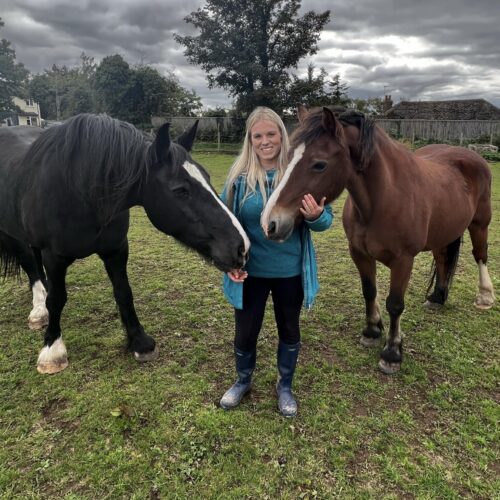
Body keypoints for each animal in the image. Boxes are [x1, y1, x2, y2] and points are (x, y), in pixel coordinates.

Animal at [0, 113, 250, 372]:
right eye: (180, 190)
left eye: (208, 178)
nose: (240, 247)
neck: (80, 190)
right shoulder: (54, 256)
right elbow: (57, 298)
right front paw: (52, 349)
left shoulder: (116, 250)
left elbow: (123, 292)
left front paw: (140, 342)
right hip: (15, 237)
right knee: (31, 267)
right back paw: (40, 310)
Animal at [264, 107, 494, 374]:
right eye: (288, 157)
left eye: (319, 164)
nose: (270, 223)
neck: (383, 198)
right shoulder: (359, 253)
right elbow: (369, 291)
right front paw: (372, 331)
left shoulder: (404, 260)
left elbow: (395, 304)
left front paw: (392, 352)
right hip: (443, 233)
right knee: (443, 260)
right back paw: (437, 297)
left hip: (480, 224)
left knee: (480, 255)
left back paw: (485, 297)